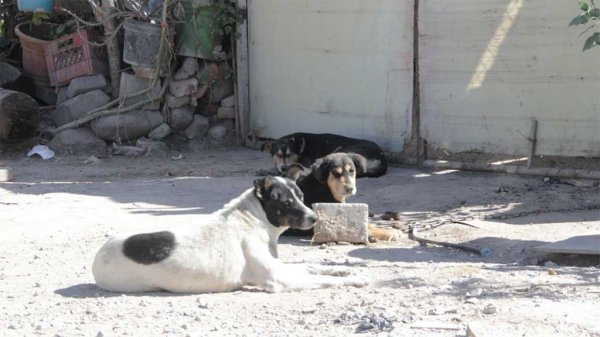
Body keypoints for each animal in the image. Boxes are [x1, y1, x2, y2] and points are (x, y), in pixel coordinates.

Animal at [92, 176, 366, 292]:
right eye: (286, 202)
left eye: (301, 195)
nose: (314, 218)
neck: (254, 219)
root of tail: (98, 256)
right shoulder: (278, 280)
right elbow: (319, 278)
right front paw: (352, 280)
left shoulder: (280, 266)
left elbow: (311, 266)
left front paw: (343, 270)